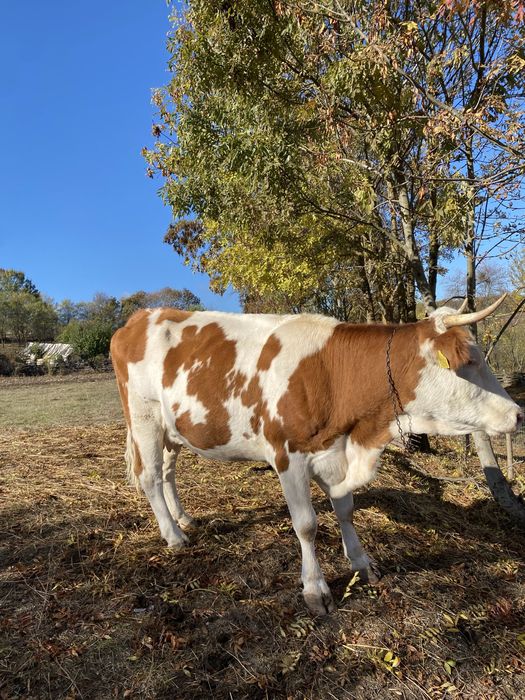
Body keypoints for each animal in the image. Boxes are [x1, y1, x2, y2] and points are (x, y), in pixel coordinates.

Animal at [110, 296, 523, 614]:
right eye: (469, 361)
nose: (518, 414)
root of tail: (141, 316)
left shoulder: (334, 451)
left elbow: (345, 509)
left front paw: (362, 563)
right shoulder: (287, 456)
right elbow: (306, 525)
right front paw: (315, 589)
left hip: (172, 428)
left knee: (167, 472)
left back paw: (184, 519)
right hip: (143, 418)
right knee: (150, 476)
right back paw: (173, 535)